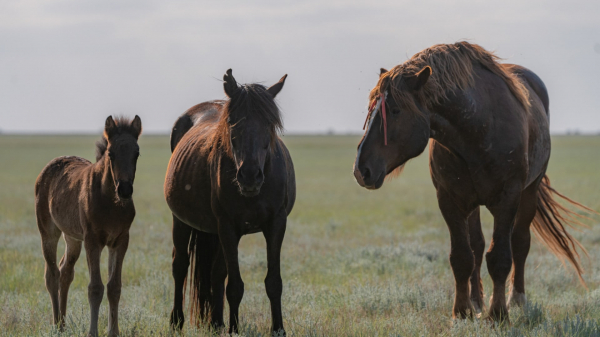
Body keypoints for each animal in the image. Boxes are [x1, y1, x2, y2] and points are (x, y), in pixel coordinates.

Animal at [35, 115, 142, 334]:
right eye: (111, 153)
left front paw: (113, 332)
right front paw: (93, 332)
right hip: (48, 232)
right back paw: (57, 325)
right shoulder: (92, 240)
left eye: (136, 153)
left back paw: (63, 324)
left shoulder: (120, 240)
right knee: (52, 274)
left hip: (73, 237)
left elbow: (114, 287)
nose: (125, 190)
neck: (111, 203)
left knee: (65, 272)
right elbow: (95, 288)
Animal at [164, 69, 296, 334]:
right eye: (232, 122)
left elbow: (273, 282)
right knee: (180, 265)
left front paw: (278, 329)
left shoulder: (276, 224)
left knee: (215, 272)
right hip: (182, 221)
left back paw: (216, 322)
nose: (250, 175)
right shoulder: (227, 226)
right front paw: (234, 330)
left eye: (269, 123)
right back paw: (177, 321)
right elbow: (235, 286)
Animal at [352, 42, 592, 320]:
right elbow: (462, 257)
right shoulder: (449, 200)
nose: (361, 170)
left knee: (520, 242)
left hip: (530, 191)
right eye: (371, 110)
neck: (477, 128)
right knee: (477, 247)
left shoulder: (508, 198)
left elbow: (500, 256)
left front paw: (498, 314)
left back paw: (517, 299)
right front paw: (462, 311)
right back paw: (477, 301)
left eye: (395, 110)